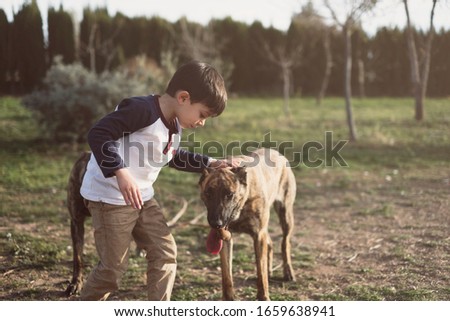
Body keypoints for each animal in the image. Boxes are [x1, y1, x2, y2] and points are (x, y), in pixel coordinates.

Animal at [200, 148, 298, 300]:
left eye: (229, 194)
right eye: (208, 193)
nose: (216, 223)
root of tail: (276, 152)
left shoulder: (258, 235)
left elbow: (261, 273)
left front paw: (263, 297)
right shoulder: (226, 239)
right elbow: (226, 275)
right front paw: (229, 299)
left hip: (285, 214)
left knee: (285, 243)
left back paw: (288, 271)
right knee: (270, 243)